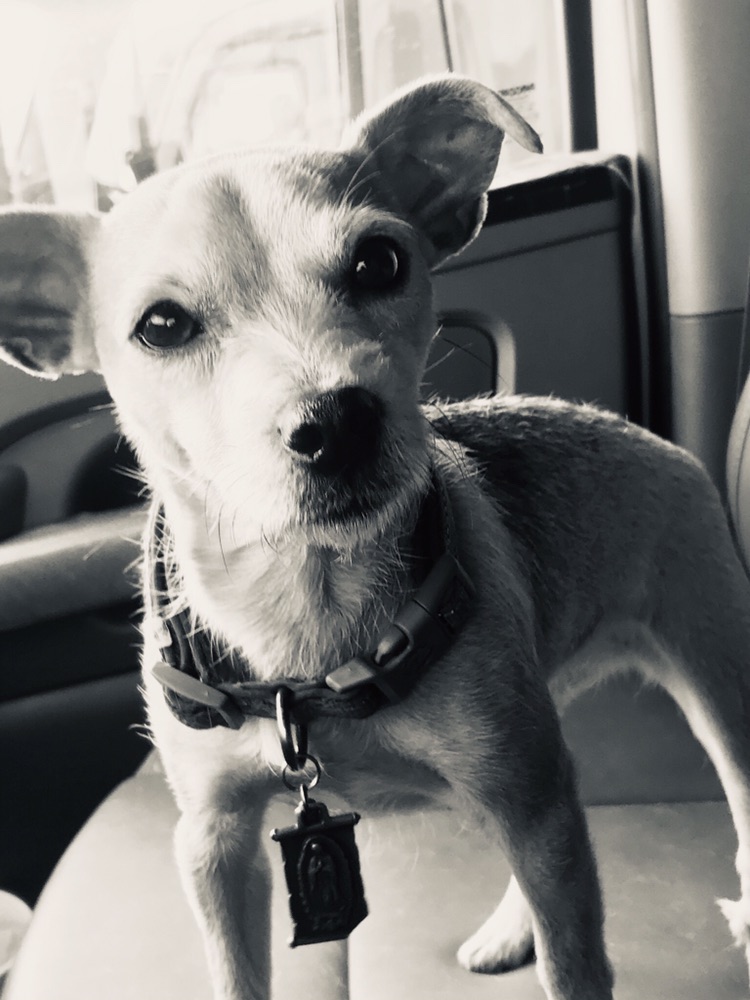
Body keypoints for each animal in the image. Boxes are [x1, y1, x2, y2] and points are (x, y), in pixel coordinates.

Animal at [2, 73, 750, 1000]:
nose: (336, 422)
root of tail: (655, 439)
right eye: (161, 325)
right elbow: (236, 972)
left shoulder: (527, 800)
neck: (305, 616)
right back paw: (512, 928)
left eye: (379, 262)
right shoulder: (213, 842)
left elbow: (576, 963)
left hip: (713, 678)